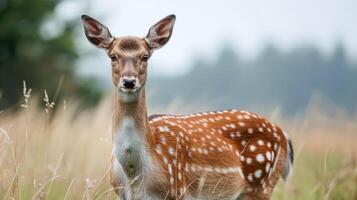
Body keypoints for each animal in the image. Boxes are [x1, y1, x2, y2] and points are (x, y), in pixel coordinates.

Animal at [82, 14, 294, 200]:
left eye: (145, 56)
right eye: (112, 56)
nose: (129, 81)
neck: (134, 171)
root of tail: (283, 134)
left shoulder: (177, 190)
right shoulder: (121, 193)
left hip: (261, 183)